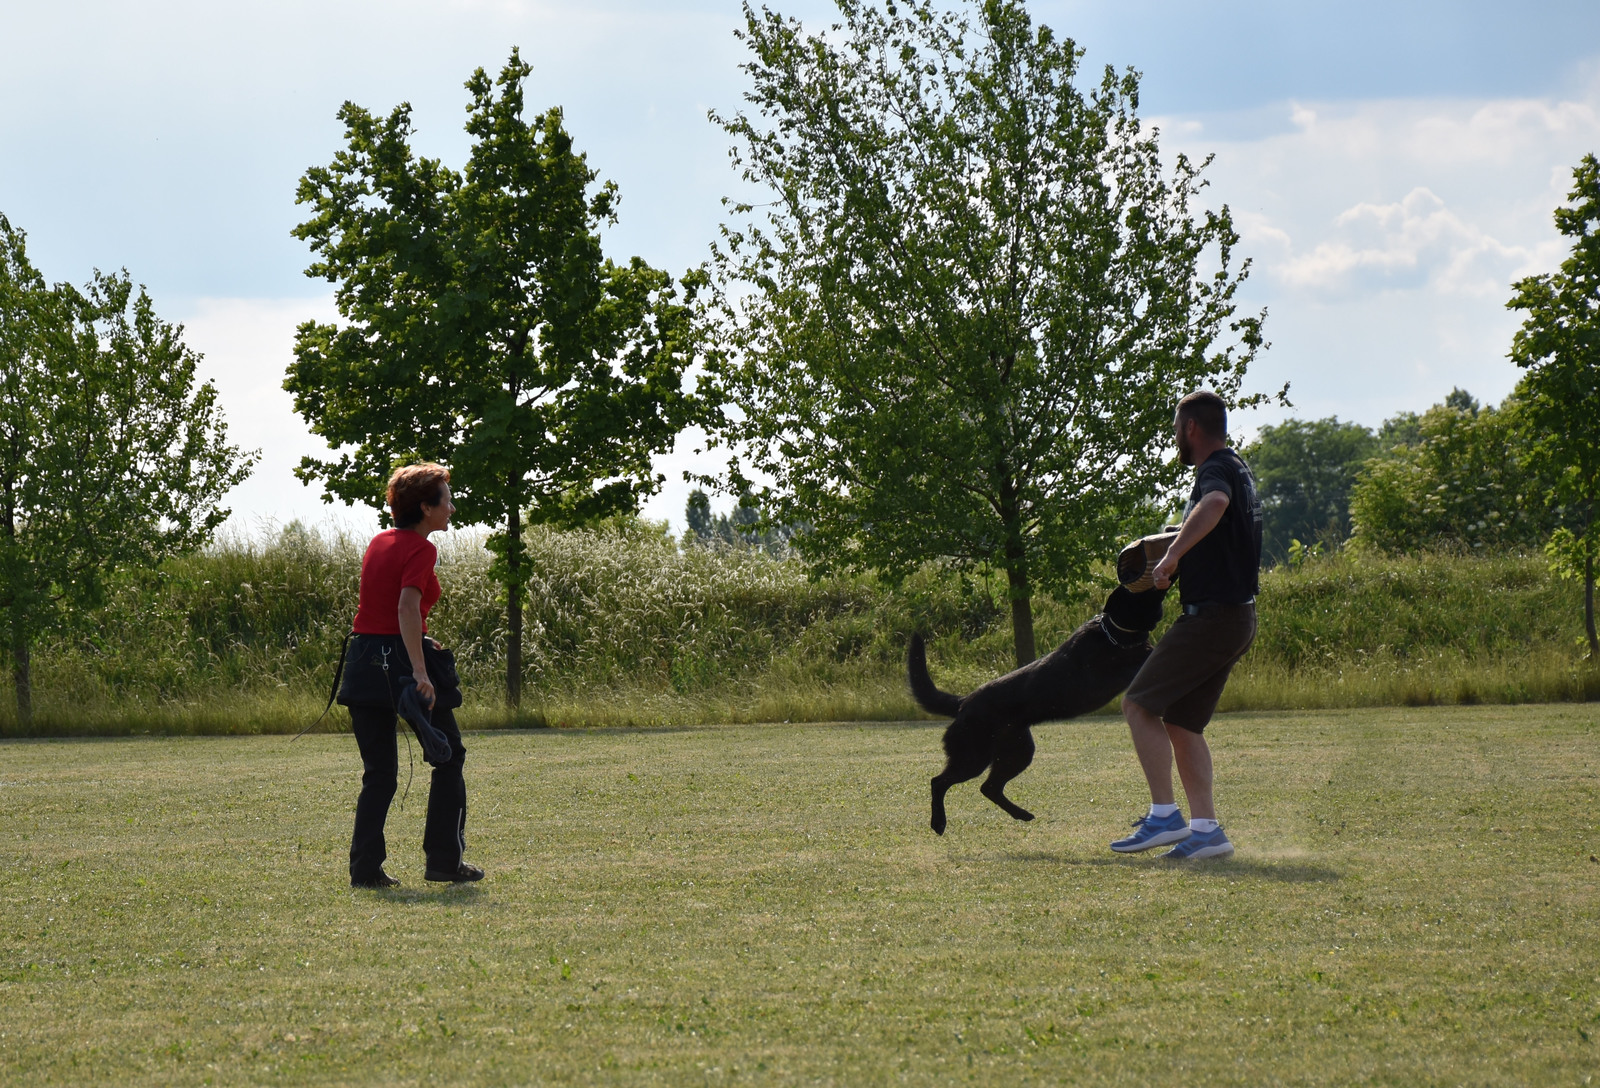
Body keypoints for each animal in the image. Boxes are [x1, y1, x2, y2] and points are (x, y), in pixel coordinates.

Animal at [911, 583, 1169, 835]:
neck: (1115, 632)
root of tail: (963, 702)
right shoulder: (1106, 676)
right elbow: (1141, 661)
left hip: (1017, 751)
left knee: (989, 787)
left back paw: (1021, 814)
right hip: (974, 757)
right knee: (939, 782)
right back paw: (939, 823)